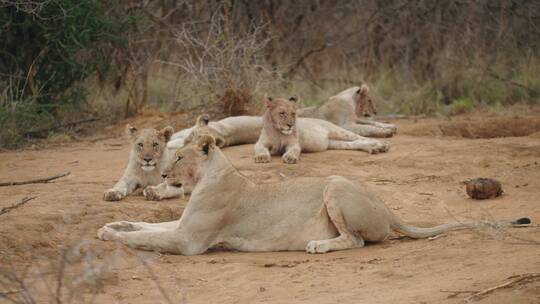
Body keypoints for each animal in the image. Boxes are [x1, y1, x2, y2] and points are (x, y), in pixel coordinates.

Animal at [96, 133, 528, 254]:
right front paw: (111, 224)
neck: (208, 176)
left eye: (178, 155)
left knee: (356, 241)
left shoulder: (189, 241)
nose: (161, 173)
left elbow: (147, 238)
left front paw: (112, 236)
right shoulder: (184, 225)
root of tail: (386, 207)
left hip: (335, 184)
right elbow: (145, 226)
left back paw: (320, 245)